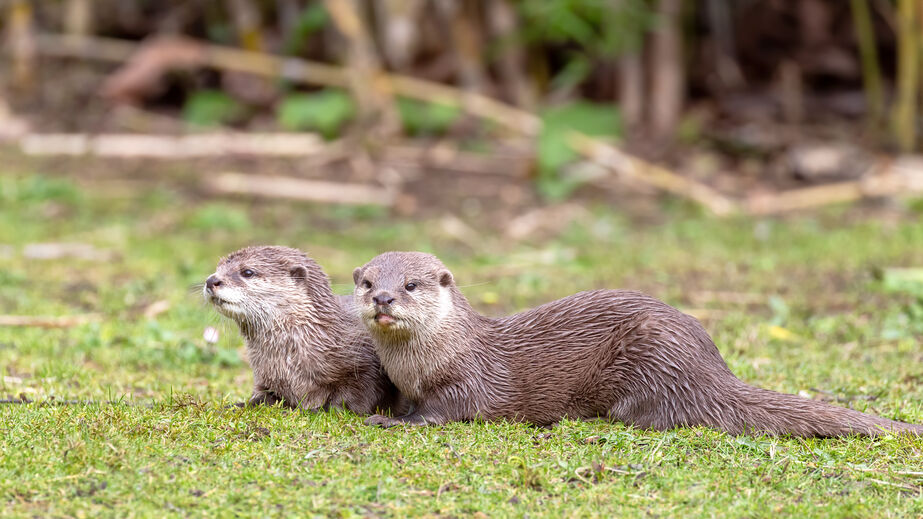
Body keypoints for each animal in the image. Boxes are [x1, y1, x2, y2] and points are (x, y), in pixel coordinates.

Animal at [206, 246, 408, 416]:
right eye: (218, 267)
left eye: (247, 272)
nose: (211, 280)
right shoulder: (267, 377)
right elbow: (261, 396)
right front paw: (236, 405)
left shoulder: (366, 366)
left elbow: (358, 395)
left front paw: (319, 409)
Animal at [350, 253, 920, 438]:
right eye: (368, 281)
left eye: (411, 285)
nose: (382, 298)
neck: (423, 364)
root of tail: (713, 369)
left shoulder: (467, 382)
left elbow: (444, 412)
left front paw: (390, 420)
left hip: (652, 355)